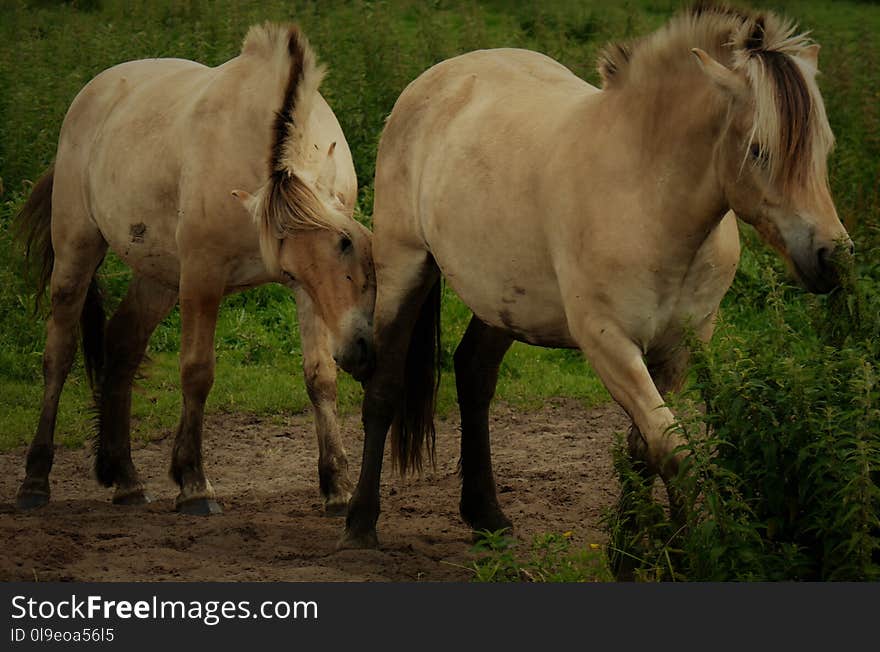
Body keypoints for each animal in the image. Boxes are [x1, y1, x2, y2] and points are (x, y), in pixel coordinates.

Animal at [15, 22, 374, 516]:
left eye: (348, 242)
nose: (359, 350)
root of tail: (92, 94)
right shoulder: (203, 277)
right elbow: (197, 371)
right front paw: (193, 483)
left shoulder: (305, 295)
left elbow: (320, 376)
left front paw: (337, 485)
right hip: (77, 254)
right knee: (59, 354)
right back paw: (35, 480)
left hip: (159, 276)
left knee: (122, 343)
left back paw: (126, 479)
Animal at [338, 3, 852, 552]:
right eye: (759, 150)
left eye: (825, 147)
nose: (832, 256)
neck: (647, 196)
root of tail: (435, 79)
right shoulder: (610, 343)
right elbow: (672, 451)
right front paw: (687, 552)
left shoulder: (680, 348)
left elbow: (645, 448)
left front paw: (633, 549)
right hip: (405, 269)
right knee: (384, 388)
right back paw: (360, 523)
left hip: (503, 301)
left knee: (474, 375)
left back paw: (487, 515)